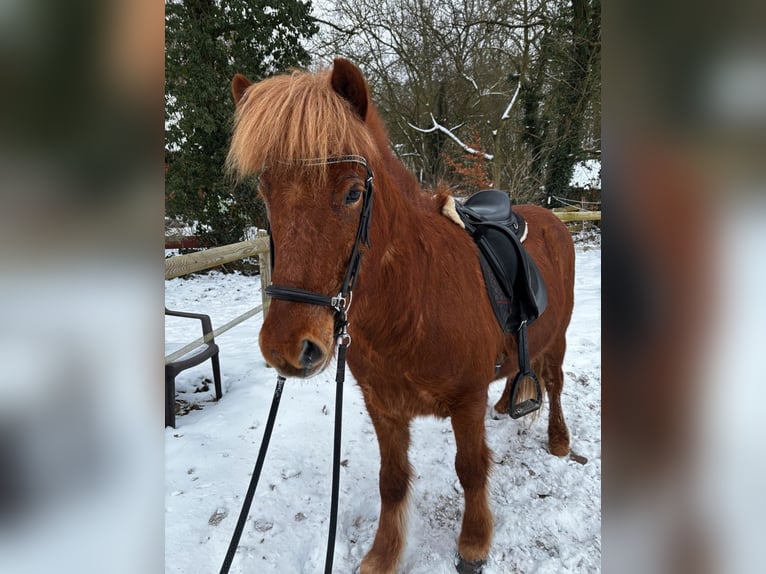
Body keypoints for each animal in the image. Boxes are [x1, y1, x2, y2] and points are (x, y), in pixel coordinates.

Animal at [226, 58, 575, 574]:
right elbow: (391, 479)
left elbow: (471, 470)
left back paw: (559, 439)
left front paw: (474, 542)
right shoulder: (383, 406)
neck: (411, 304)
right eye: (266, 196)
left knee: (554, 383)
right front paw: (383, 554)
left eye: (353, 193)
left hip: (559, 338)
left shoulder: (465, 401)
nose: (286, 347)